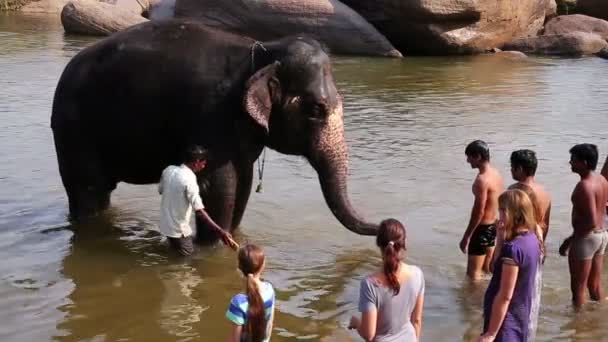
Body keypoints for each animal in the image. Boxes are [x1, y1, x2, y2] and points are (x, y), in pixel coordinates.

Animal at [50, 17, 378, 239]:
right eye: (316, 110)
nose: (386, 224)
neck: (262, 52)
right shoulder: (211, 116)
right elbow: (220, 186)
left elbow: (243, 184)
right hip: (74, 131)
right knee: (88, 191)